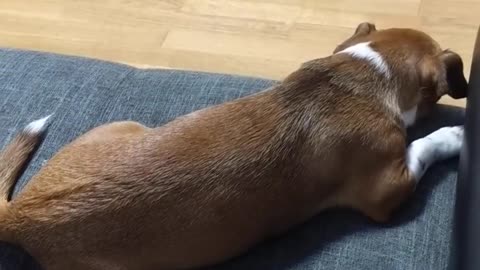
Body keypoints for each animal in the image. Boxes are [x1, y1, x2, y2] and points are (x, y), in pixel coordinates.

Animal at [0, 23, 466, 270]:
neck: (367, 72)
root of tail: (20, 214)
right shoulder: (387, 188)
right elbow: (424, 145)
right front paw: (456, 136)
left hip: (123, 126)